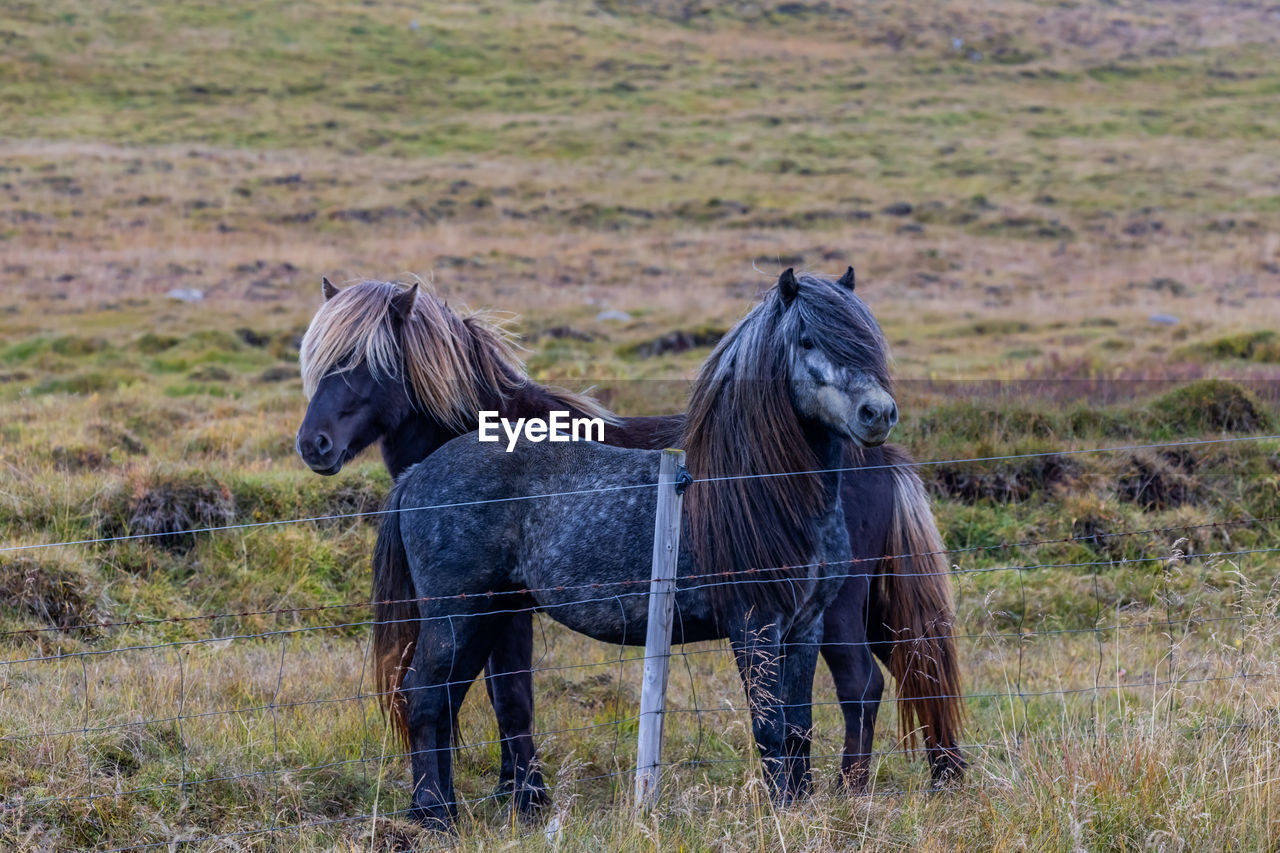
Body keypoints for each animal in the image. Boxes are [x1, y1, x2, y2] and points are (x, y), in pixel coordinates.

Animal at [296, 272, 962, 809]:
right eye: (805, 342)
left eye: (867, 341)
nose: (878, 413)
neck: (758, 488)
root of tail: (420, 475)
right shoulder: (756, 624)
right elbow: (771, 727)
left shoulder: (804, 623)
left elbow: (795, 728)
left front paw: (800, 809)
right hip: (462, 612)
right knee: (428, 695)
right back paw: (433, 814)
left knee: (865, 686)